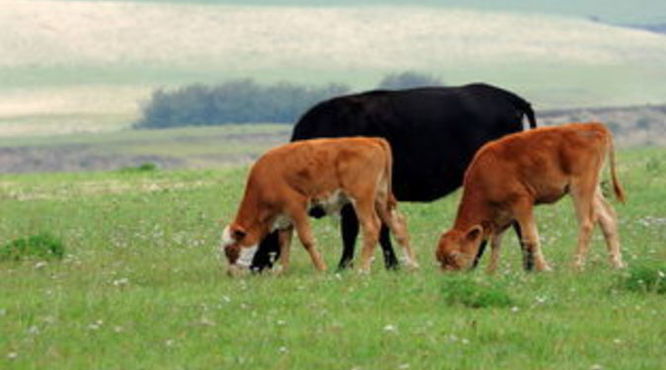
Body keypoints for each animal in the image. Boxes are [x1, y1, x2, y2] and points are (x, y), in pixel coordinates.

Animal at [220, 137, 416, 274]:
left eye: (231, 249)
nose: (230, 274)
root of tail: (371, 140)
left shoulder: (296, 207)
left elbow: (307, 240)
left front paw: (321, 268)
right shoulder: (285, 219)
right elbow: (284, 244)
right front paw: (282, 271)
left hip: (362, 200)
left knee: (372, 227)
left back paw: (363, 270)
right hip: (380, 199)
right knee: (398, 225)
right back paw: (413, 265)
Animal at [249, 82, 536, 270]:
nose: (254, 266)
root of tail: (507, 96)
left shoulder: (356, 197)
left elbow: (353, 231)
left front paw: (344, 266)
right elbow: (383, 230)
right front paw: (392, 265)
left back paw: (525, 265)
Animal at [434, 123, 624, 270]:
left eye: (453, 255)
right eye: (439, 259)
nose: (449, 278)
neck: (485, 174)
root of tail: (593, 126)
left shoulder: (522, 202)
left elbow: (530, 238)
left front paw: (544, 269)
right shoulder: (503, 217)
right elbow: (496, 243)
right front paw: (491, 273)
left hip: (580, 188)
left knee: (587, 222)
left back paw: (576, 266)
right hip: (593, 190)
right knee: (607, 218)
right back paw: (617, 264)